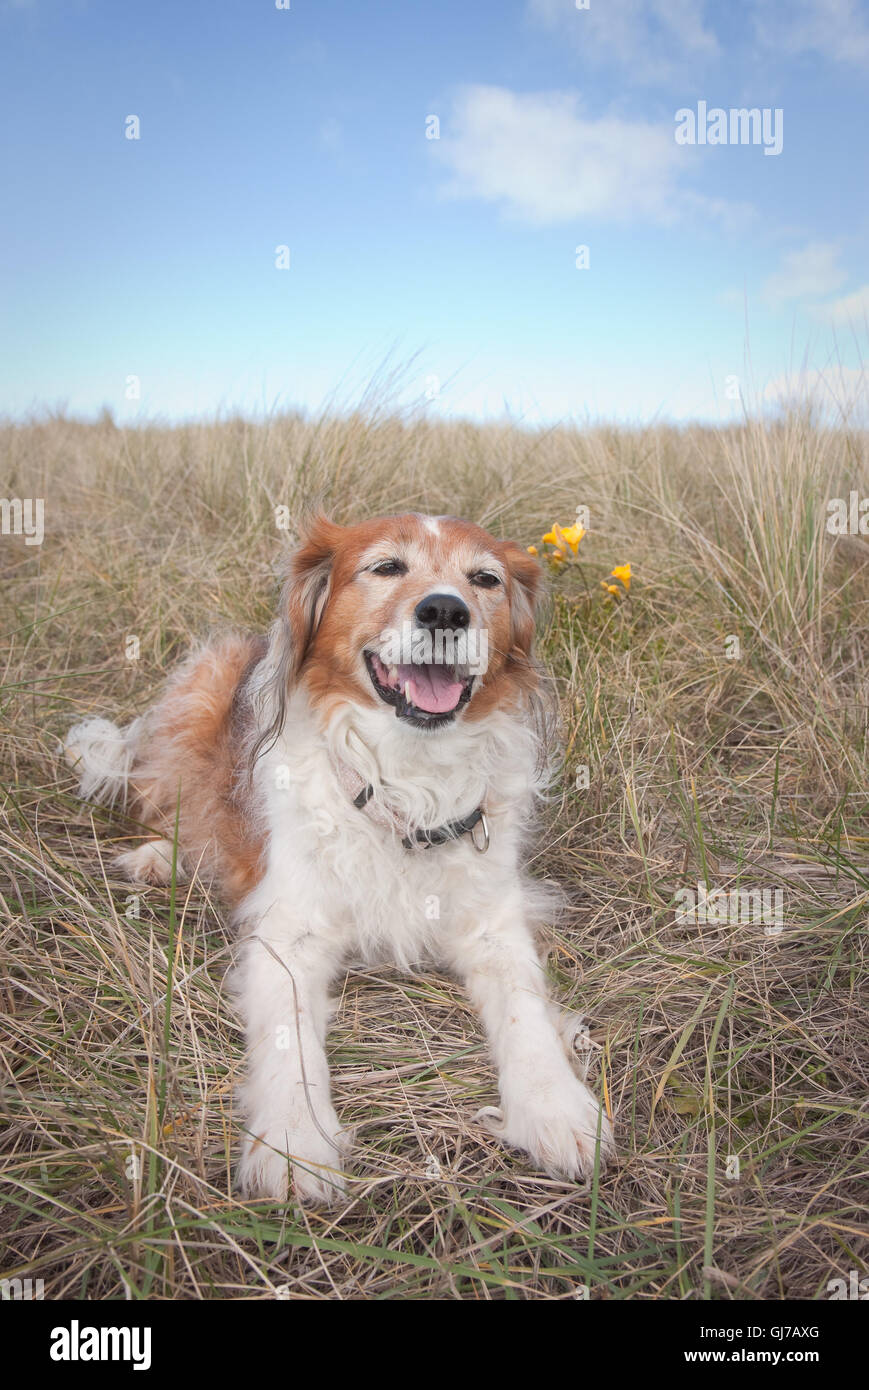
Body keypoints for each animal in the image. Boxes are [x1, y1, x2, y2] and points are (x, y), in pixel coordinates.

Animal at [64, 517, 614, 1200]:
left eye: (485, 579)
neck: (407, 784)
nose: (445, 610)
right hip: (201, 695)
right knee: (170, 801)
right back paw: (159, 858)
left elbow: (526, 1012)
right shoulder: (289, 934)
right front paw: (294, 1141)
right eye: (386, 568)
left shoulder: (493, 926)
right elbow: (290, 1035)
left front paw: (554, 1107)